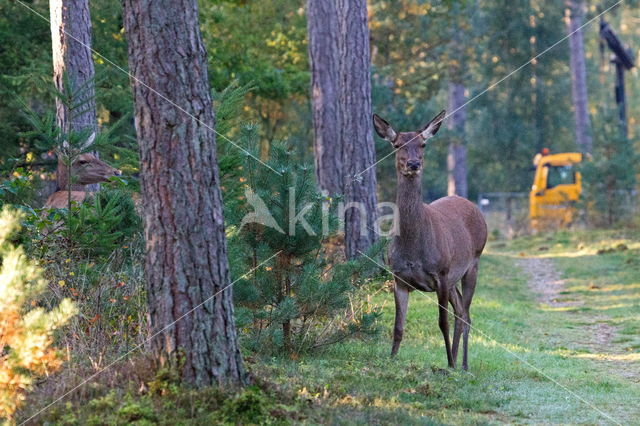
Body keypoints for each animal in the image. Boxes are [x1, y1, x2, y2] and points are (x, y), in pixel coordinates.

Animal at [372, 110, 488, 370]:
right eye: (397, 145)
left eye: (423, 144)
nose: (414, 164)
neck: (413, 249)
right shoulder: (399, 277)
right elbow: (398, 326)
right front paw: (391, 359)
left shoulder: (441, 274)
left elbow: (442, 322)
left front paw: (449, 364)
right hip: (455, 277)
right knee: (460, 312)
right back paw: (456, 361)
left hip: (473, 263)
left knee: (466, 315)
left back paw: (462, 365)